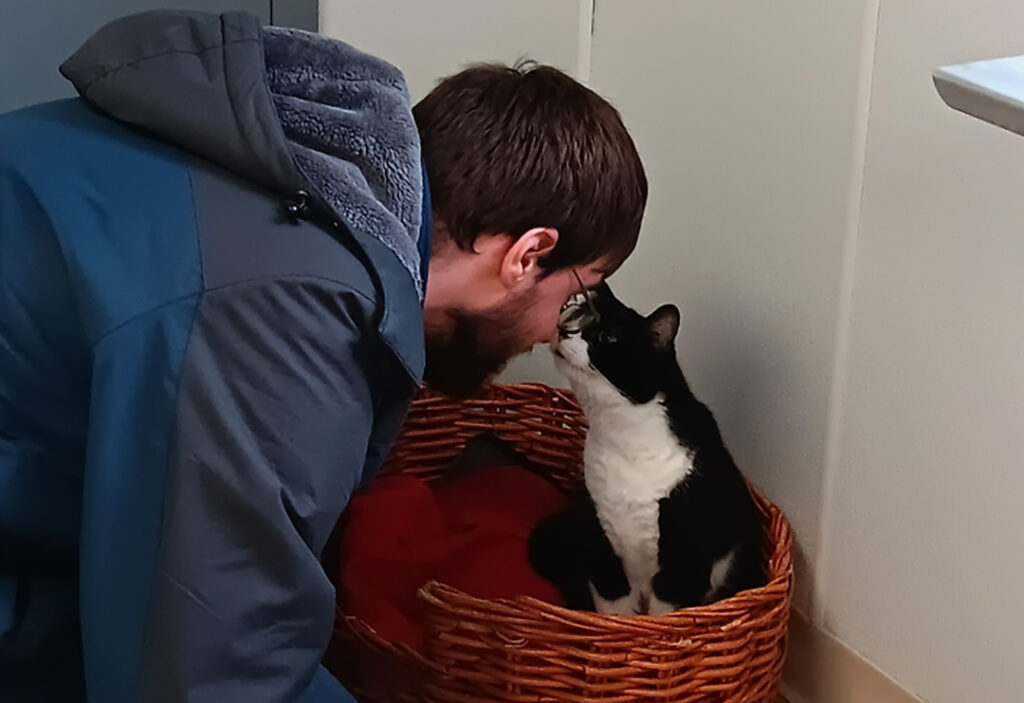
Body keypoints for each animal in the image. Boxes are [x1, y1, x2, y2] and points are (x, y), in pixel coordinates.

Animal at [532, 282, 765, 613]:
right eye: (577, 315)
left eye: (608, 337)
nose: (563, 332)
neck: (625, 440)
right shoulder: (601, 544)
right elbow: (615, 611)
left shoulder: (684, 561)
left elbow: (663, 615)